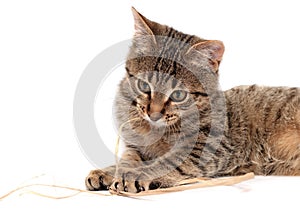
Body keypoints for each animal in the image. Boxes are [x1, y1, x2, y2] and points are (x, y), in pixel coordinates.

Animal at [84, 7, 300, 192]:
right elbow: (127, 159)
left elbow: (168, 161)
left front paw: (137, 175)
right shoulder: (135, 146)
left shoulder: (207, 148)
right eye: (144, 86)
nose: (154, 114)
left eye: (178, 95)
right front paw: (110, 172)